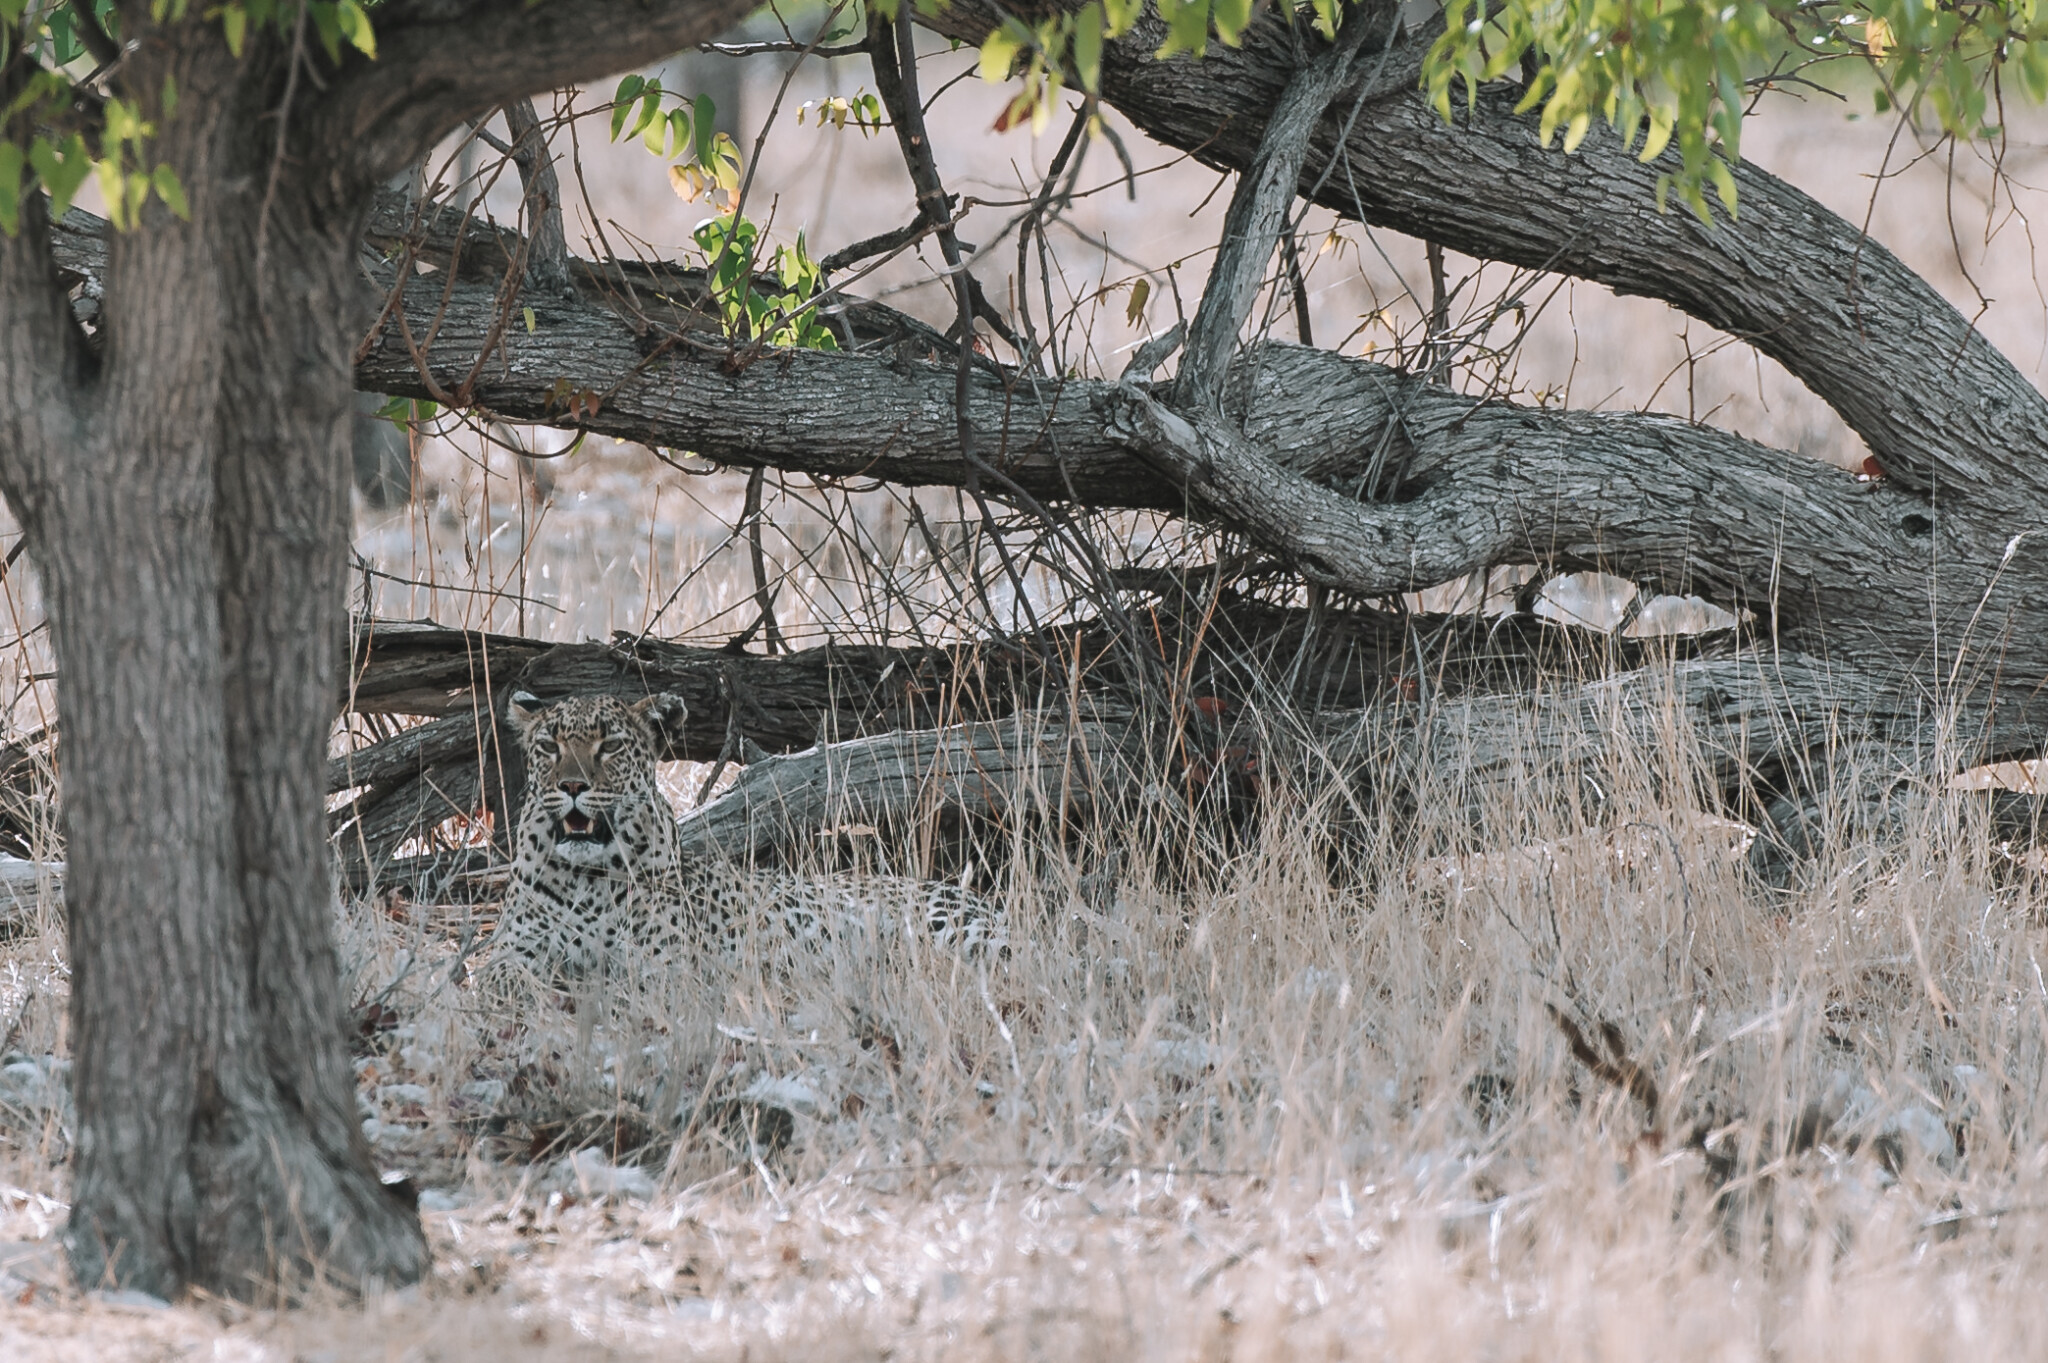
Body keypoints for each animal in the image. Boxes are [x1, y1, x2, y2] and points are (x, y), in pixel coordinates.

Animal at [489, 691, 999, 978]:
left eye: (610, 745)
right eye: (548, 746)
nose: (572, 787)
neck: (586, 879)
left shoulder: (662, 962)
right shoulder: (513, 951)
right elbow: (501, 981)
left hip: (952, 928)